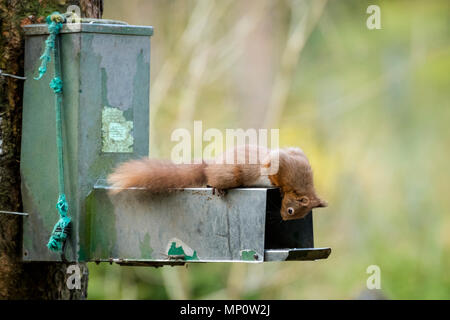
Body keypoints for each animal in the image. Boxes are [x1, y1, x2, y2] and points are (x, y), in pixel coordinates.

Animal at [108, 145, 326, 220]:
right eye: (290, 211)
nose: (282, 218)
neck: (299, 186)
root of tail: (210, 166)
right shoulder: (282, 165)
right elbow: (271, 164)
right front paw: (279, 188)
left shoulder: (298, 154)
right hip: (230, 175)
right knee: (215, 179)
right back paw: (215, 186)